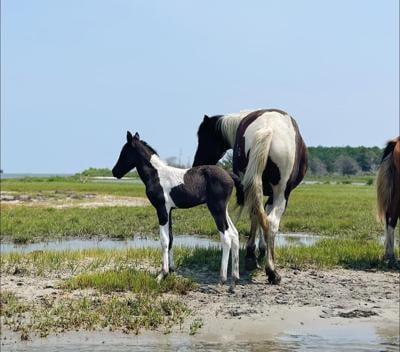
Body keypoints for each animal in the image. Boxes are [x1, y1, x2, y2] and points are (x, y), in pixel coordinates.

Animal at [112, 132, 244, 292]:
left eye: (124, 152)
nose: (114, 171)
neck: (156, 175)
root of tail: (229, 175)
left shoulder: (161, 209)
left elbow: (164, 240)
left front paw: (161, 275)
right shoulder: (169, 211)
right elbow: (171, 239)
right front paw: (171, 270)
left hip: (216, 209)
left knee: (226, 238)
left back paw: (222, 280)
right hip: (223, 210)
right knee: (235, 234)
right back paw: (234, 281)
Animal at [192, 108, 308, 284]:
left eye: (204, 137)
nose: (197, 164)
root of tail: (268, 129)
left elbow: (259, 215)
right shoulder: (273, 195)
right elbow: (263, 216)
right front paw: (262, 250)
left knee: (258, 214)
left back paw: (256, 260)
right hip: (281, 193)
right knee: (271, 221)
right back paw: (271, 270)